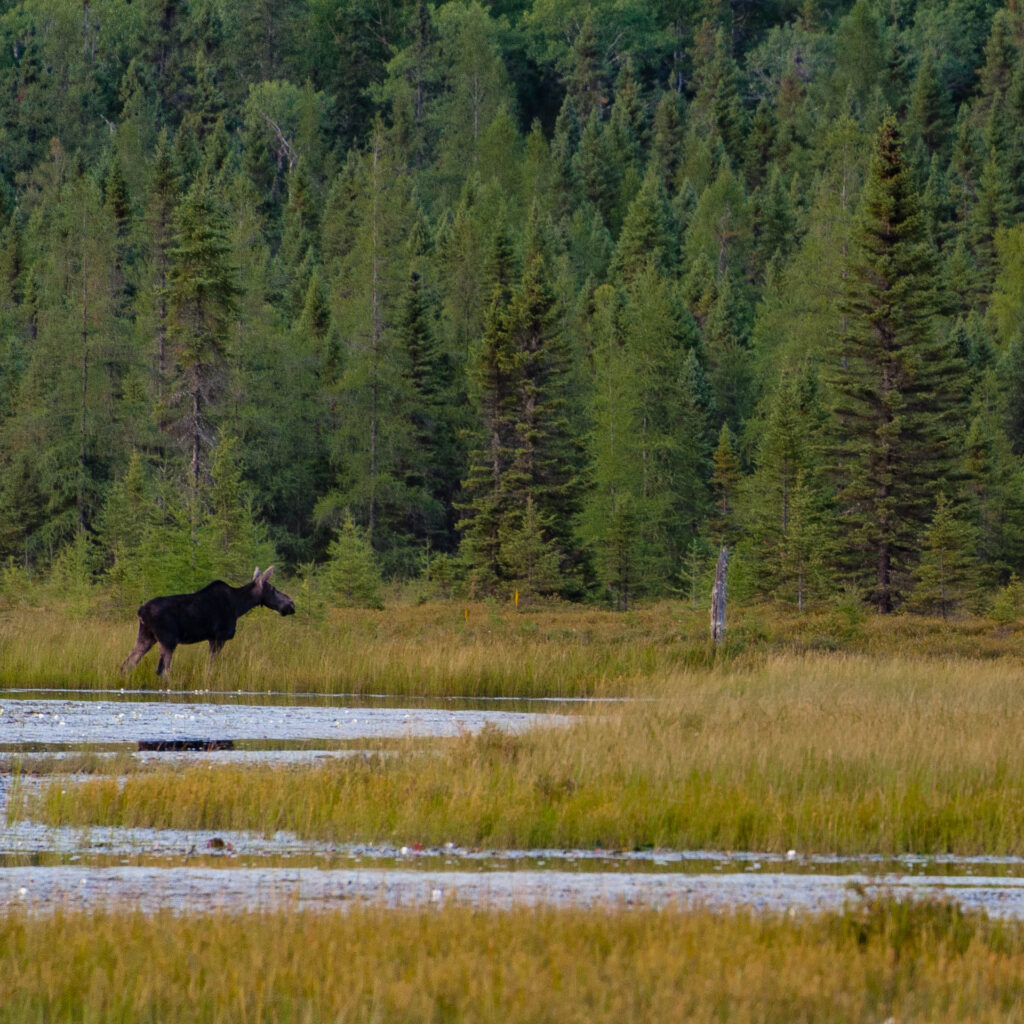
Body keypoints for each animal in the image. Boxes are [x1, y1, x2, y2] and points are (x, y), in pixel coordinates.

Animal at [121, 569, 296, 679]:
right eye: (273, 589)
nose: (291, 604)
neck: (239, 606)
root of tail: (141, 611)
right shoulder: (219, 637)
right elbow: (210, 668)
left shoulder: (212, 638)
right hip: (168, 639)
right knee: (163, 670)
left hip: (147, 636)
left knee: (127, 664)